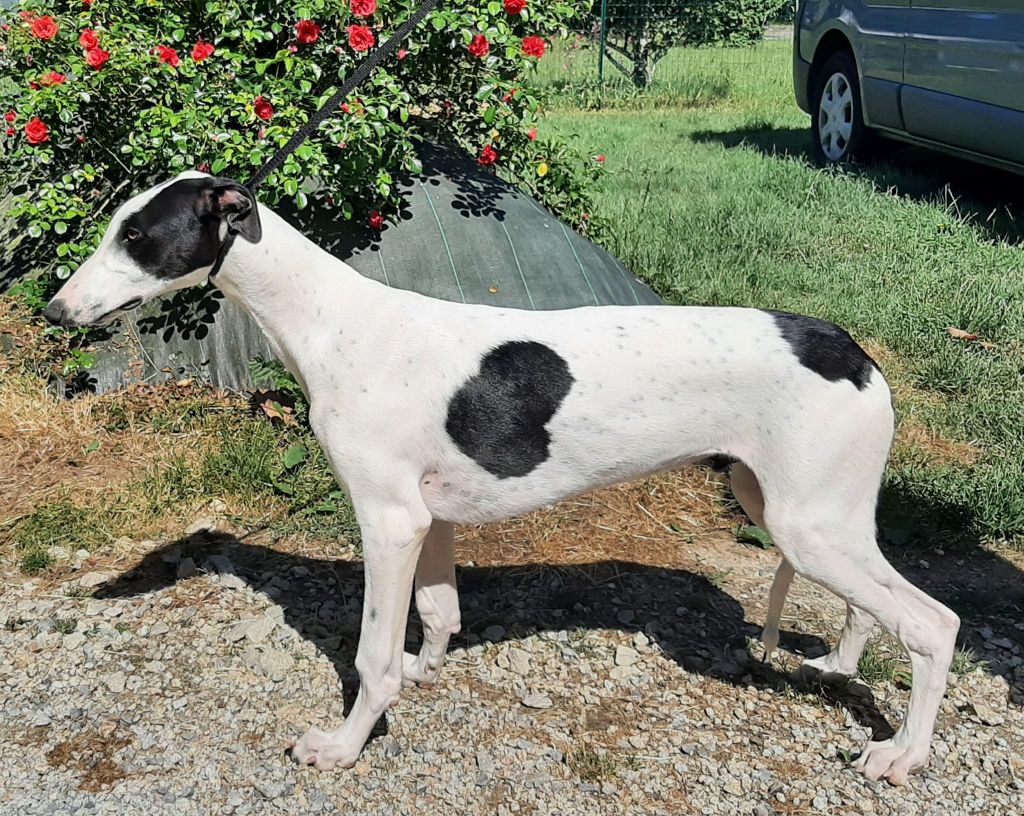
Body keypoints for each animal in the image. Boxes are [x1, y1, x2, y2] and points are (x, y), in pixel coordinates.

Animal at [42, 172, 960, 785]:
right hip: (793, 512)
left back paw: (904, 755)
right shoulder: (430, 521)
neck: (334, 321)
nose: (53, 312)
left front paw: (344, 744)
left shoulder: (389, 521)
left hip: (811, 527)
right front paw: (422, 674)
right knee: (867, 612)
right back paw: (836, 669)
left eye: (136, 237)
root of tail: (853, 350)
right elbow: (440, 616)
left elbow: (372, 655)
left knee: (933, 623)